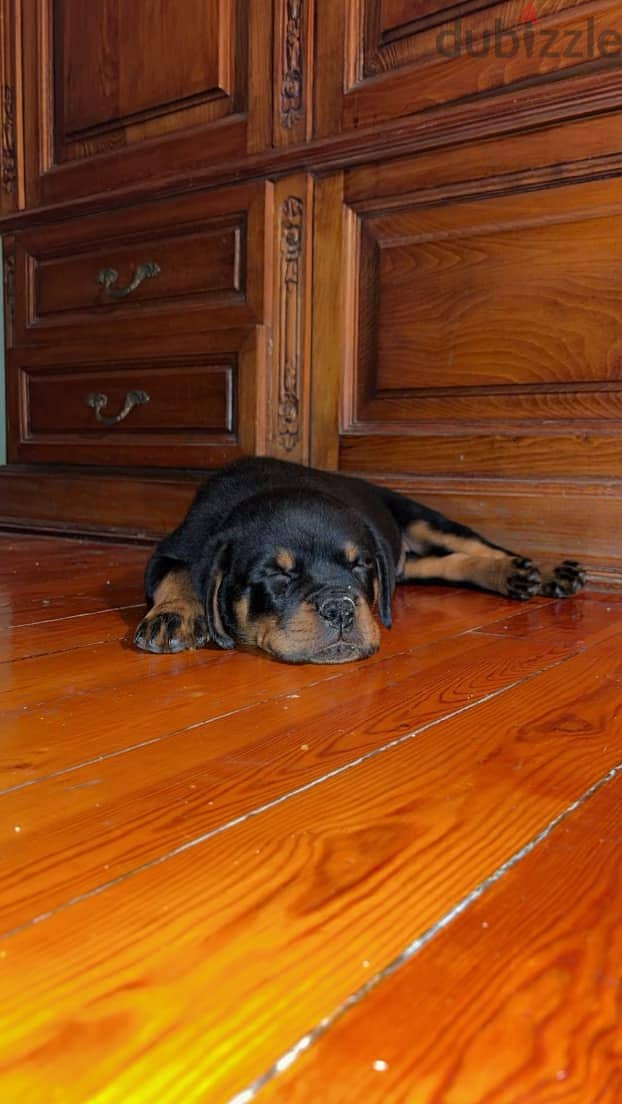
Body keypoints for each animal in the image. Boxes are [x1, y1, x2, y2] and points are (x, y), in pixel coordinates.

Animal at [133, 457, 587, 662]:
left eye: (360, 565)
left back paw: (538, 571)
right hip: (408, 559)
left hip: (422, 519)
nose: (340, 609)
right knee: (446, 562)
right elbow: (180, 572)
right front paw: (173, 615)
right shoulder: (173, 548)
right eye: (278, 576)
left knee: (483, 548)